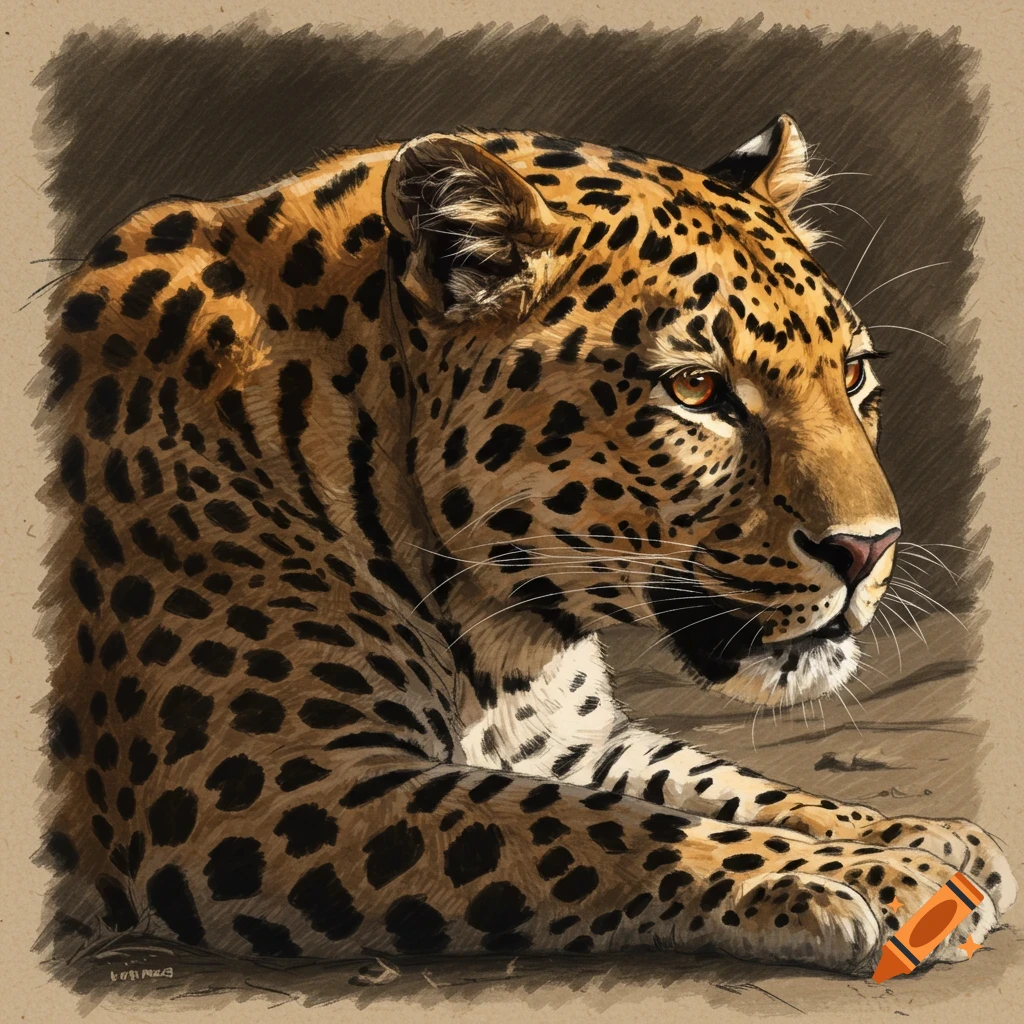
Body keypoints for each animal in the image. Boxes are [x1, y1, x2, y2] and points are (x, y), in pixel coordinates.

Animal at [34, 113, 1015, 976]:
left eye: (852, 374)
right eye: (698, 390)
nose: (870, 548)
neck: (495, 628)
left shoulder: (566, 742)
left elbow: (726, 785)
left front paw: (921, 837)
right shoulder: (254, 792)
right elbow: (594, 828)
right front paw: (878, 876)